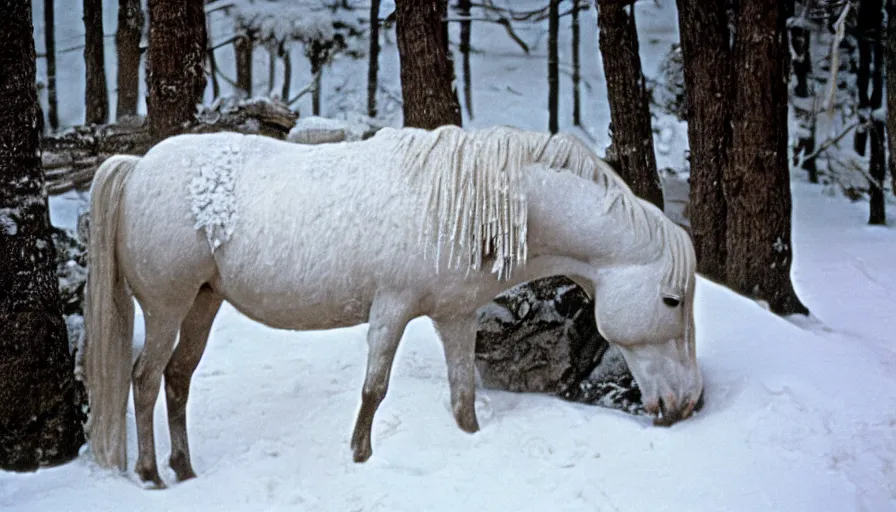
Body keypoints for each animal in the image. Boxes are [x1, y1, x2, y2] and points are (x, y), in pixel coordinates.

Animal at [82, 125, 700, 488]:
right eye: (671, 299)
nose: (687, 402)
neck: (469, 202)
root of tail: (137, 168)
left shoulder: (455, 317)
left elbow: (463, 398)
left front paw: (468, 442)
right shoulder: (393, 308)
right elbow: (374, 389)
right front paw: (360, 458)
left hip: (202, 304)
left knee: (177, 378)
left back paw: (184, 469)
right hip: (166, 307)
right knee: (144, 378)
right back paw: (150, 474)